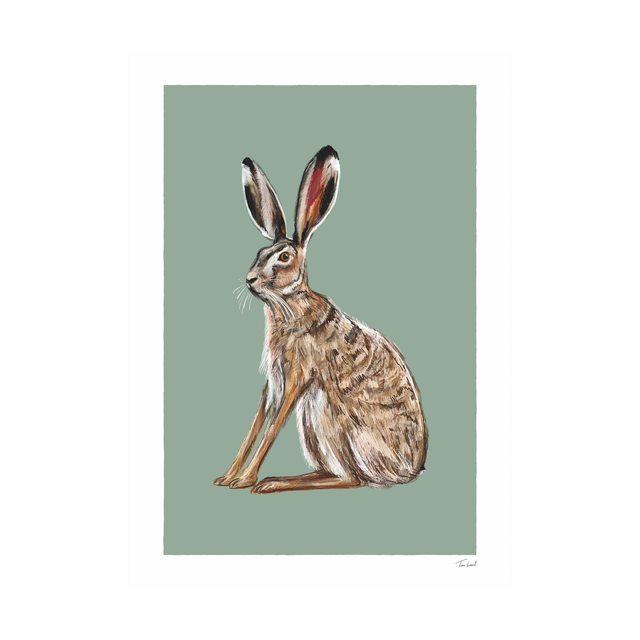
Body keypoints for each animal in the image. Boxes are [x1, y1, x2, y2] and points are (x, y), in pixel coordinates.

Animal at [214, 146, 428, 494]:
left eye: (283, 257)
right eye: (260, 252)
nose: (250, 280)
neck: (289, 306)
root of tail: (411, 469)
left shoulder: (296, 379)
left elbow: (271, 428)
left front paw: (245, 480)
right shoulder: (272, 382)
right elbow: (256, 425)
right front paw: (228, 477)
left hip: (326, 411)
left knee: (352, 479)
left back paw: (274, 483)